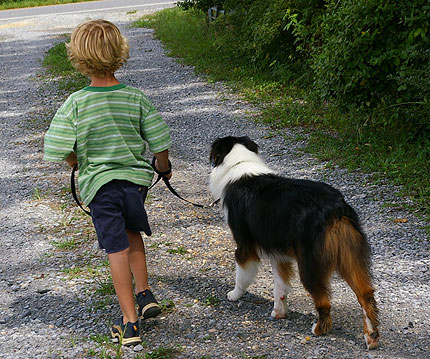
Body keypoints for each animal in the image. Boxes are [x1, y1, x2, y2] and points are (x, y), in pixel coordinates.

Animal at [208, 136, 380, 350]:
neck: (239, 163)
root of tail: (336, 206)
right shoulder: (278, 252)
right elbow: (280, 286)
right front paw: (279, 312)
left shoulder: (244, 245)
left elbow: (242, 276)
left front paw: (234, 294)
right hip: (350, 256)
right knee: (365, 294)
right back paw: (371, 336)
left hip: (310, 263)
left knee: (324, 300)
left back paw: (319, 329)